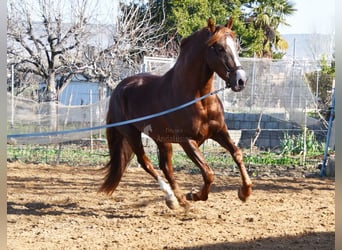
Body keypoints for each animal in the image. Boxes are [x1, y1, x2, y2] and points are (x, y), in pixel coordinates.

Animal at [99, 18, 251, 209]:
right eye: (219, 48)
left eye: (235, 46)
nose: (241, 80)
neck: (199, 99)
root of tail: (119, 88)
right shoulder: (187, 141)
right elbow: (208, 173)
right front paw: (195, 195)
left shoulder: (219, 131)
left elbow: (237, 154)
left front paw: (244, 192)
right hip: (131, 134)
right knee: (146, 163)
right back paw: (172, 198)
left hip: (161, 140)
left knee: (165, 166)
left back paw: (178, 199)